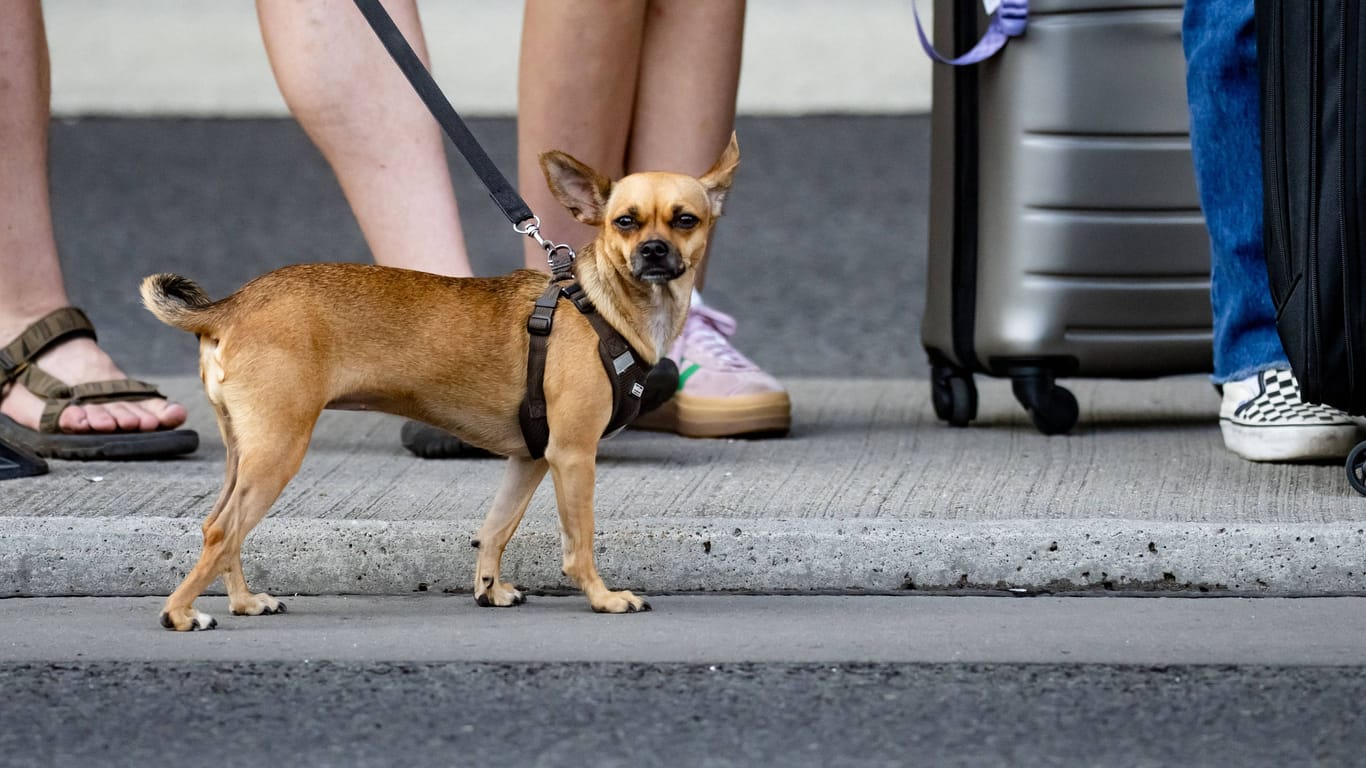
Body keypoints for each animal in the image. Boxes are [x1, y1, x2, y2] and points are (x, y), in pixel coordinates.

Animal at [141, 135, 737, 628]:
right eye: (625, 222)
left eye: (686, 220)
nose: (654, 251)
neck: (601, 306)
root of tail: (231, 306)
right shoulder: (572, 456)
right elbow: (580, 542)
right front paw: (603, 597)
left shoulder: (530, 460)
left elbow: (496, 528)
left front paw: (489, 589)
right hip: (277, 453)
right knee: (224, 532)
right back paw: (180, 613)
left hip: (246, 454)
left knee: (218, 529)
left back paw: (243, 602)